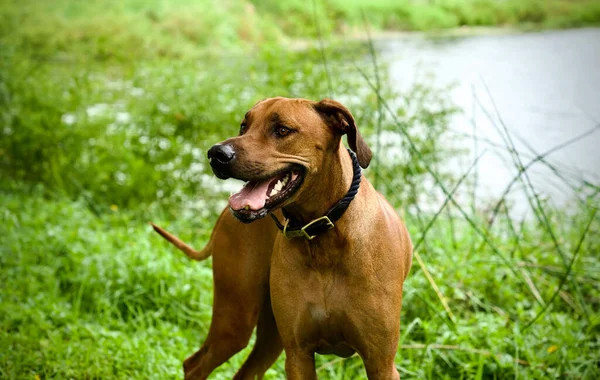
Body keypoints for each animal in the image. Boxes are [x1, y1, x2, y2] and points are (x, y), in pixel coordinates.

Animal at [154, 96, 412, 378]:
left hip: (269, 335)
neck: (323, 236)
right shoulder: (298, 355)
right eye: (244, 126)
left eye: (282, 130)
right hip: (236, 318)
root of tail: (224, 213)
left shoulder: (380, 362)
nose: (216, 154)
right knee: (195, 364)